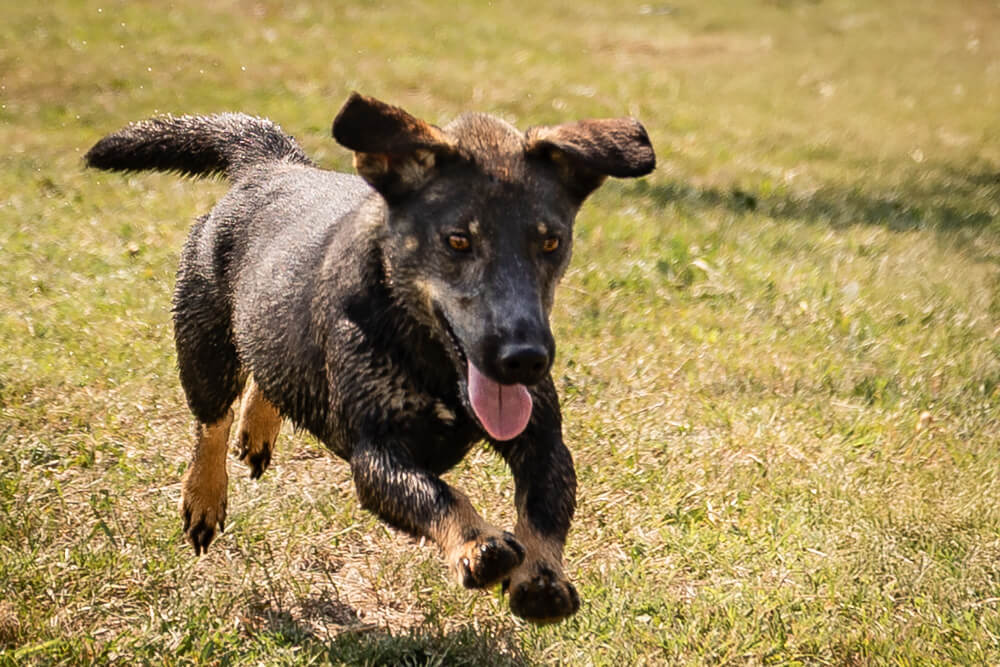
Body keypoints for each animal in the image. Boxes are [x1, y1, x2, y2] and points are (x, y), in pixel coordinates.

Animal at [85, 93, 655, 623]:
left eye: (551, 242)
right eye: (457, 240)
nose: (525, 359)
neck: (436, 364)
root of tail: (270, 165)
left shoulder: (543, 440)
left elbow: (543, 507)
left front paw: (541, 577)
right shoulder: (375, 455)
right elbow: (442, 496)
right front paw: (478, 545)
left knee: (267, 369)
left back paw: (259, 429)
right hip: (202, 340)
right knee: (210, 421)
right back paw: (204, 496)